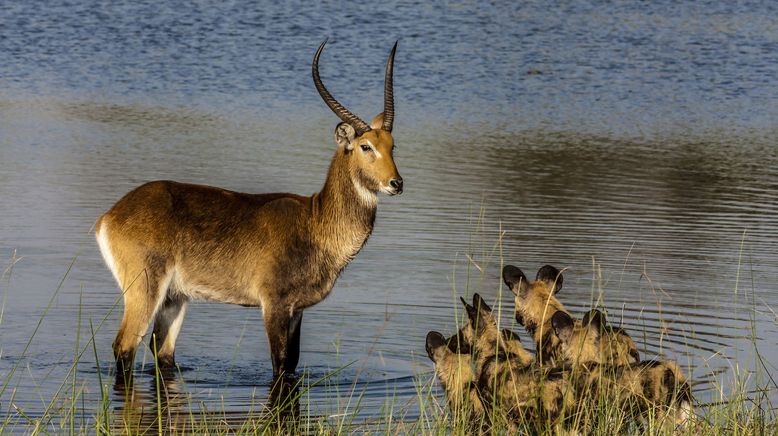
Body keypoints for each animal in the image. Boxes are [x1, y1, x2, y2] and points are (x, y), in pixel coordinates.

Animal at [94, 41, 404, 378]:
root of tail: (110, 215)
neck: (315, 221)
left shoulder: (297, 311)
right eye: (365, 146)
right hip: (145, 290)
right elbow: (279, 366)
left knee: (162, 352)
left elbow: (291, 363)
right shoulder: (275, 305)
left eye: (392, 146)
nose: (396, 183)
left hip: (174, 298)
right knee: (124, 347)